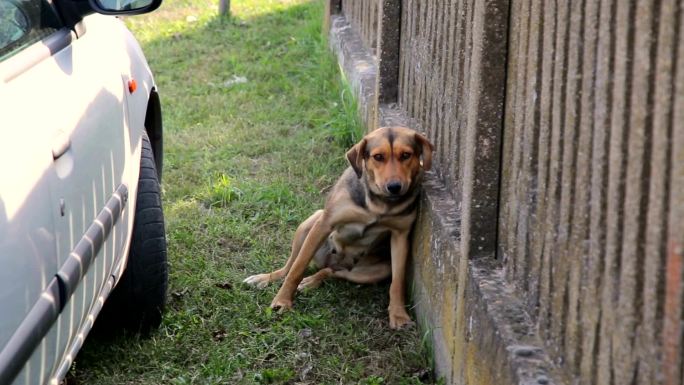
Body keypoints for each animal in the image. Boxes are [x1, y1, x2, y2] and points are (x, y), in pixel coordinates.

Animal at [242, 125, 432, 328]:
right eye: (378, 156)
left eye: (406, 155)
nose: (395, 187)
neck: (378, 204)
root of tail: (333, 262)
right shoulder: (324, 225)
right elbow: (297, 268)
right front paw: (282, 301)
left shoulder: (400, 236)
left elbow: (397, 282)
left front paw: (398, 314)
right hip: (309, 224)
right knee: (289, 266)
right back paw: (265, 278)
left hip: (373, 270)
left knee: (332, 272)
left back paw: (312, 280)